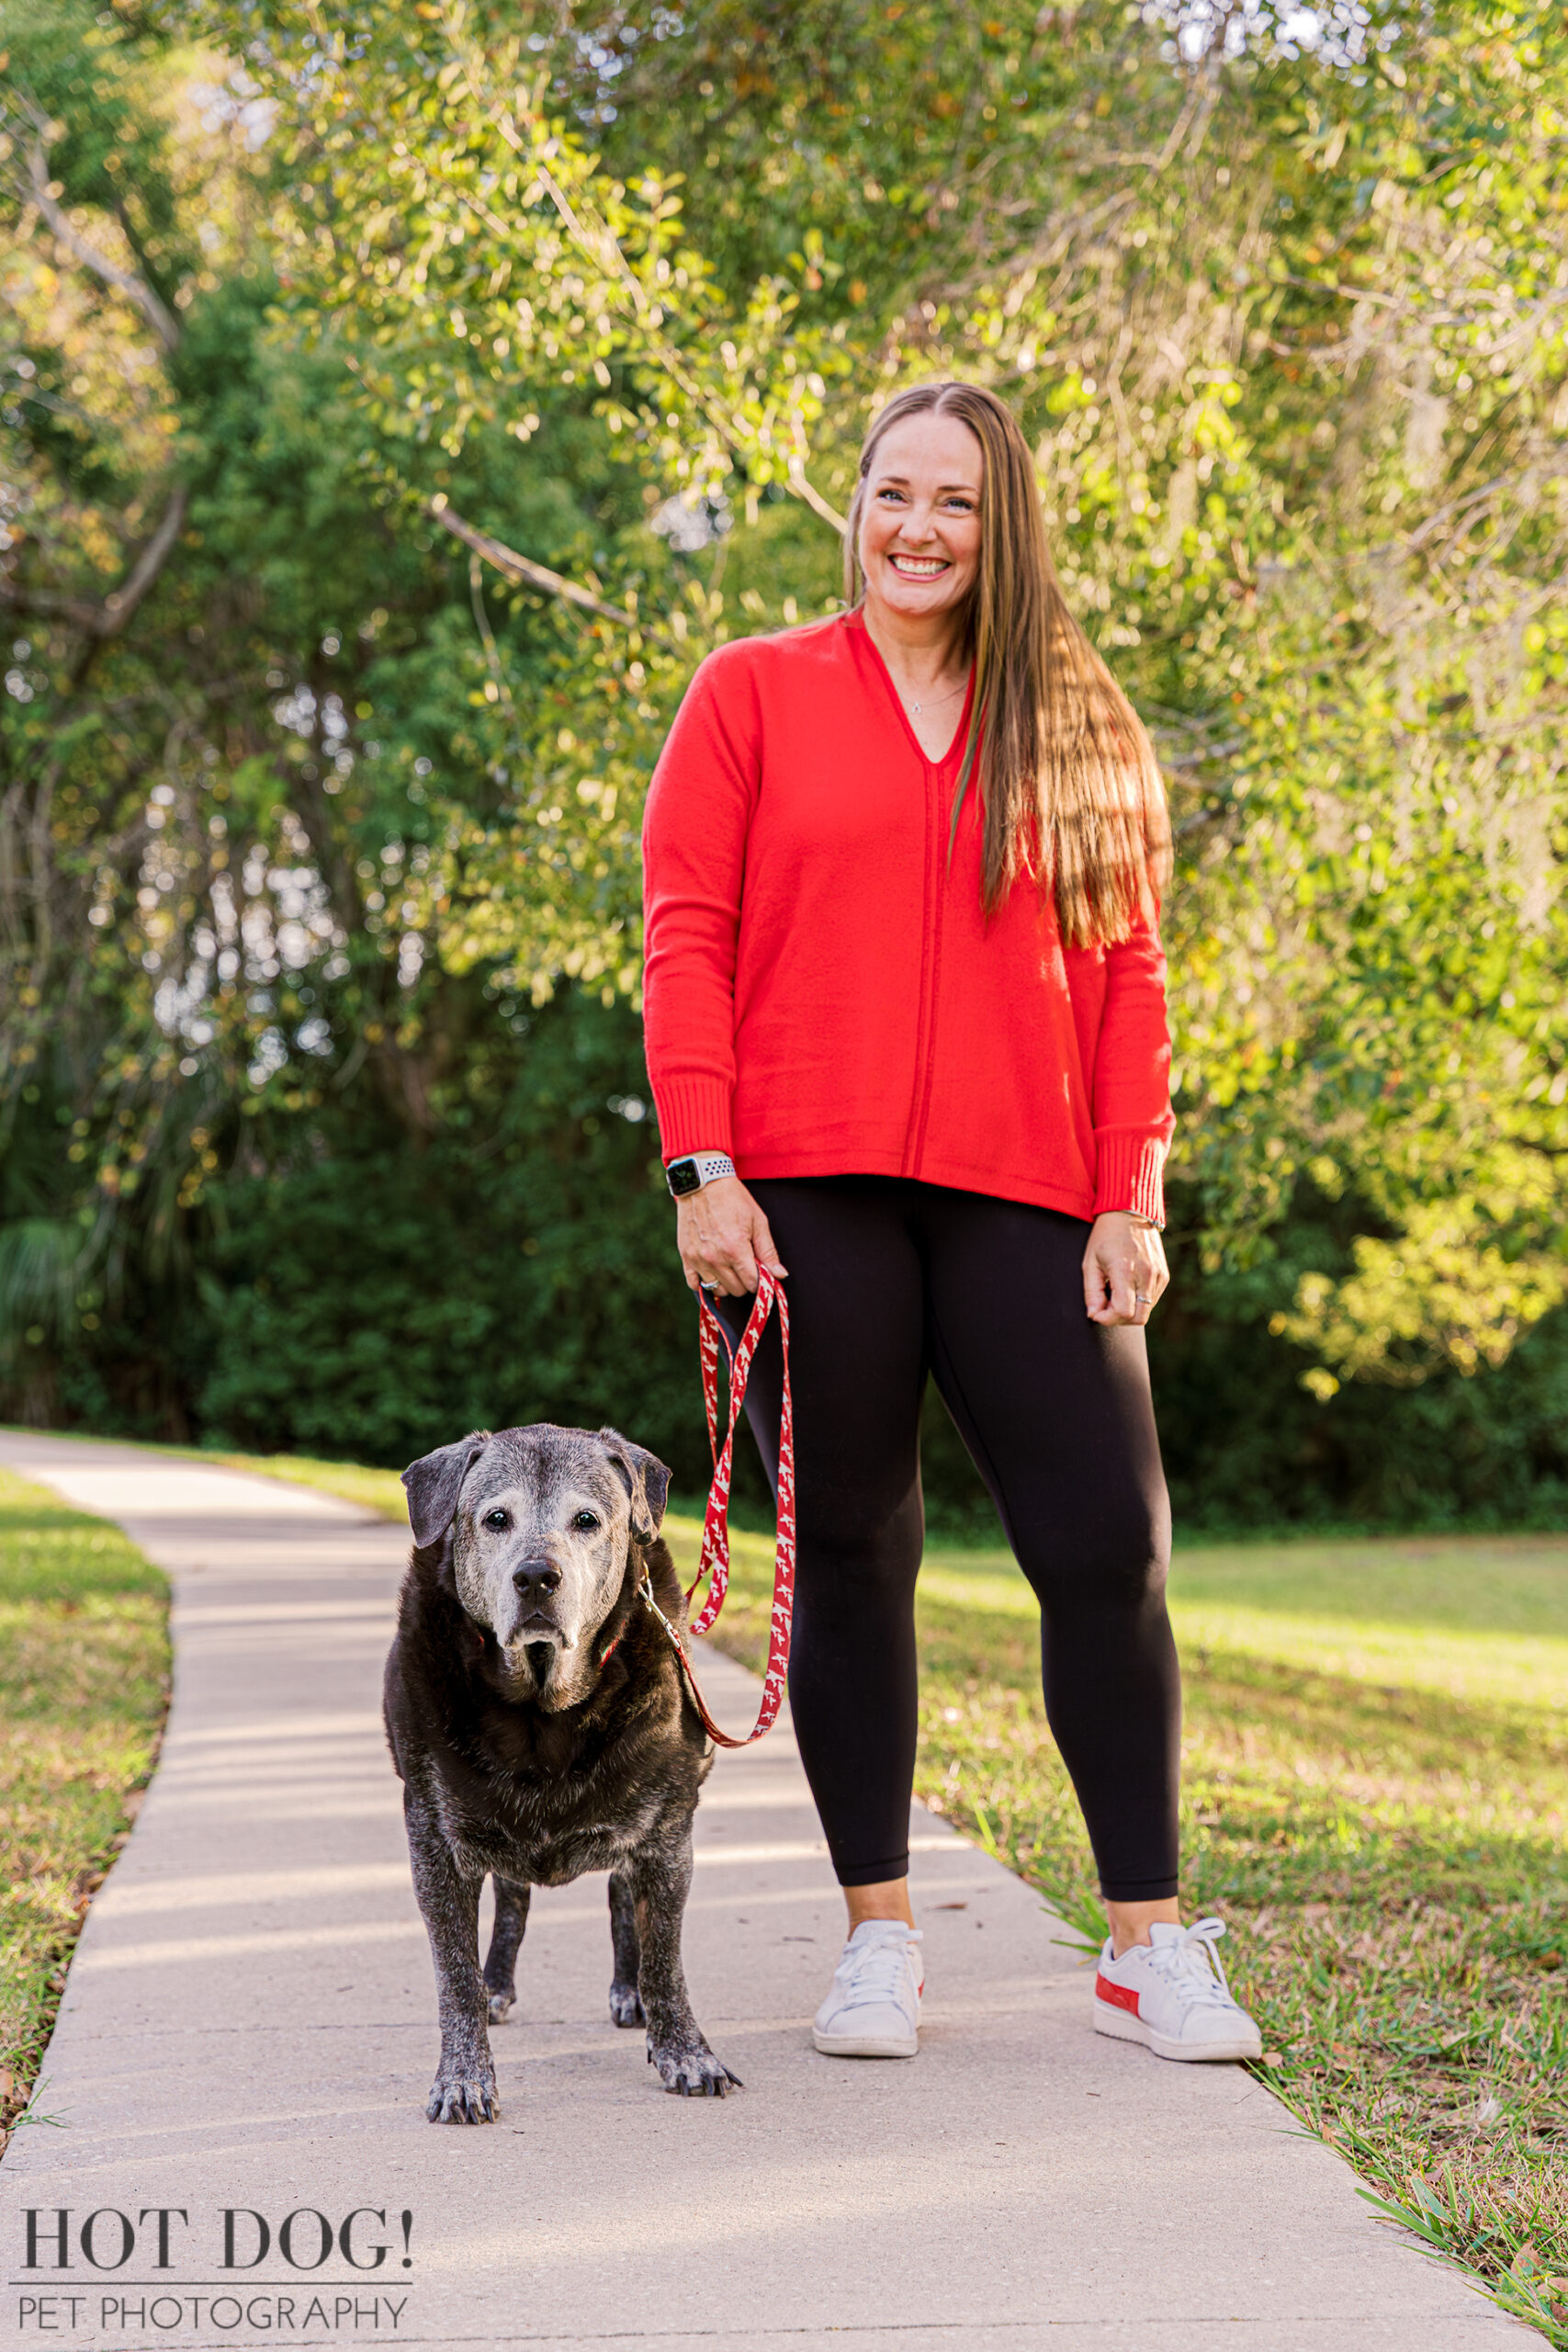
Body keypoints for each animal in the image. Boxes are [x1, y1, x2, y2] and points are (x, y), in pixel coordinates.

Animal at [389, 1420, 738, 2126]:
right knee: (513, 1900)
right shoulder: (434, 1841)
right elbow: (455, 1973)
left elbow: (665, 1954)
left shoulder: (667, 1834)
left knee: (621, 1902)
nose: (536, 1577)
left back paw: (630, 1993)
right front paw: (463, 2076)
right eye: (496, 1518)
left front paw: (686, 2051)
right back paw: (499, 1984)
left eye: (587, 1520)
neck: (540, 1709)